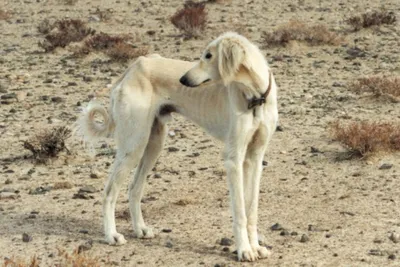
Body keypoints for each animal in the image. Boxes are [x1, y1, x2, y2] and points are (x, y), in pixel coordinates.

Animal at [77, 31, 278, 262]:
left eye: (209, 55)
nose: (183, 80)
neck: (255, 96)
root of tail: (133, 66)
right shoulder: (233, 158)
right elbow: (239, 211)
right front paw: (244, 249)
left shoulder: (255, 157)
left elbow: (251, 209)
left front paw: (256, 247)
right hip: (134, 145)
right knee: (110, 191)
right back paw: (111, 235)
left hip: (153, 144)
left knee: (134, 188)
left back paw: (140, 229)